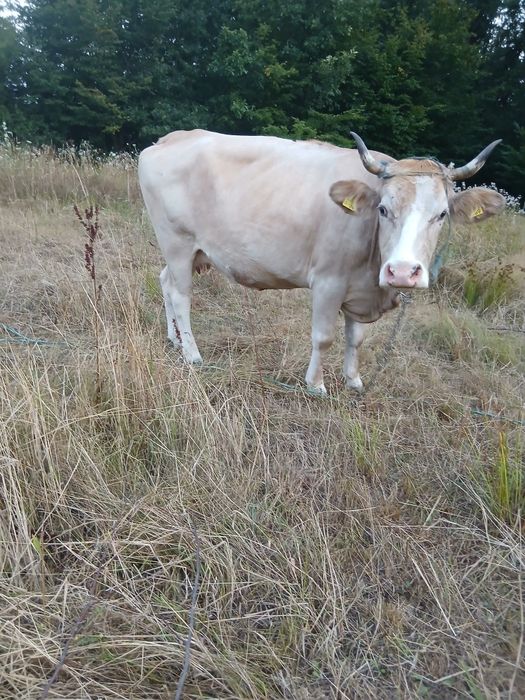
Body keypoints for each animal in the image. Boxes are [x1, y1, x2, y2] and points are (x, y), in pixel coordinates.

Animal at [138, 130, 504, 394]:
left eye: (441, 215)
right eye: (383, 209)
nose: (402, 271)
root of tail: (169, 139)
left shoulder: (360, 287)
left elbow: (355, 338)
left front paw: (353, 380)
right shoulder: (329, 282)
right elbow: (324, 336)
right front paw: (316, 385)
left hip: (187, 252)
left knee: (165, 282)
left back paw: (175, 339)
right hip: (177, 242)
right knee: (181, 296)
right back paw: (192, 354)